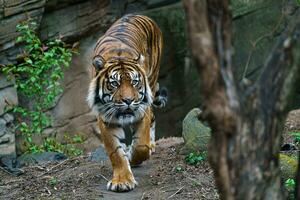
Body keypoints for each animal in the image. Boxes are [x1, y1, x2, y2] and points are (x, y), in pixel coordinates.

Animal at [86, 14, 168, 192]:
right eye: (114, 83)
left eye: (135, 82)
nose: (128, 100)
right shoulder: (105, 118)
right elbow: (115, 152)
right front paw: (122, 181)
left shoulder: (142, 110)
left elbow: (141, 146)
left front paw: (133, 156)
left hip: (152, 80)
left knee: (152, 117)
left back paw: (151, 145)